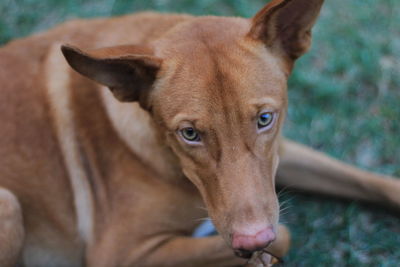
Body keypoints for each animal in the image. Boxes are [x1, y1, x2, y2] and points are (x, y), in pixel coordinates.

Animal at [0, 0, 400, 266]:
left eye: (265, 119)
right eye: (190, 133)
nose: (251, 238)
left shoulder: (278, 154)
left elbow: (376, 183)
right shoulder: (123, 254)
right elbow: (283, 236)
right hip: (10, 205)